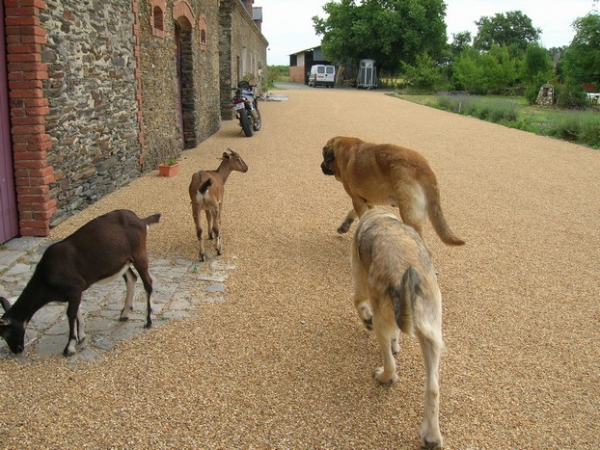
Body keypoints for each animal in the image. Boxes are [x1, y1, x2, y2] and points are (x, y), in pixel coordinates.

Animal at [0, 209, 162, 356]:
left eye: (5, 334)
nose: (17, 350)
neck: (46, 279)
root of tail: (142, 221)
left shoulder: (73, 288)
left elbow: (70, 314)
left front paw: (69, 347)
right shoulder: (74, 292)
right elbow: (77, 310)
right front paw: (81, 337)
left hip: (139, 253)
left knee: (148, 283)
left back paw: (148, 321)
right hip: (123, 261)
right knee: (131, 278)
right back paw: (124, 313)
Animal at [322, 136, 462, 250]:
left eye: (324, 158)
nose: (320, 166)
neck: (342, 149)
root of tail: (423, 165)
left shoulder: (357, 200)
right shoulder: (367, 201)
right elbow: (354, 213)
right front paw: (344, 226)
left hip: (408, 214)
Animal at [352, 209, 446, 448]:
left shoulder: (360, 279)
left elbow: (358, 302)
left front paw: (365, 318)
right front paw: (397, 345)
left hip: (381, 319)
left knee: (390, 365)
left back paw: (384, 376)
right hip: (432, 336)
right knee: (433, 387)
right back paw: (431, 436)